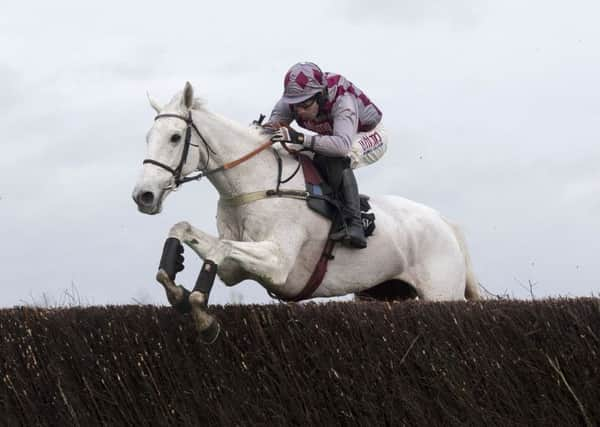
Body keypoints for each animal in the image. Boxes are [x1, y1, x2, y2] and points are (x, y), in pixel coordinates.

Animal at [130, 82, 478, 342]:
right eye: (148, 138)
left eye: (175, 137)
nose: (143, 196)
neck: (254, 184)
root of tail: (445, 223)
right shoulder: (234, 269)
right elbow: (183, 229)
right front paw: (175, 287)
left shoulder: (278, 264)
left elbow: (221, 247)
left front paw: (202, 315)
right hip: (384, 292)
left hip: (440, 293)